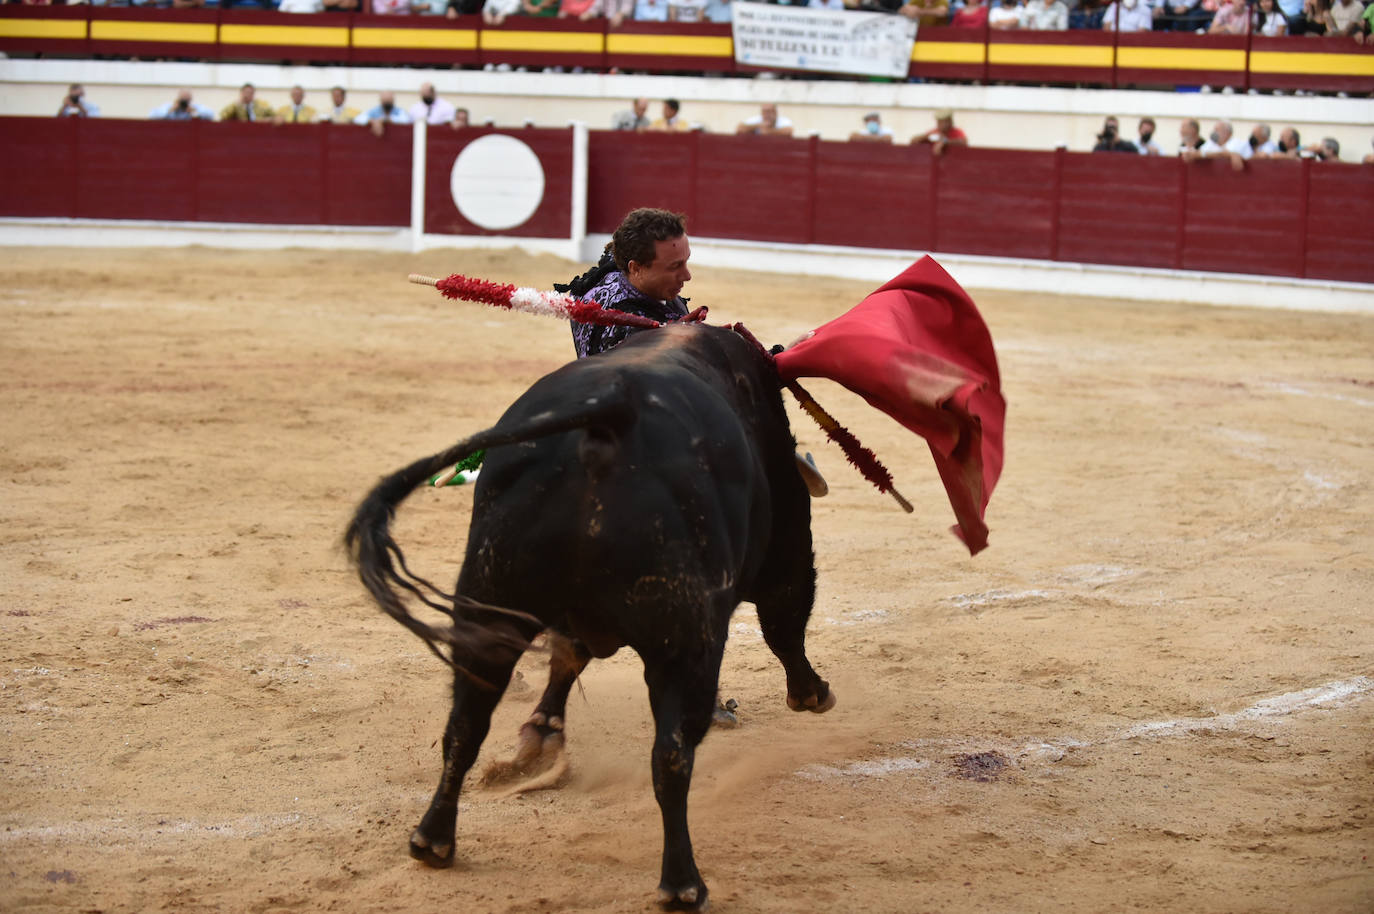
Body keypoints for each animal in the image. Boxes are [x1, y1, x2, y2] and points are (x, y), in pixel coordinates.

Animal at [343, 320, 835, 907]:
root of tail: (609, 418)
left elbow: (564, 660)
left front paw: (542, 733)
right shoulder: (785, 545)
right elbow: (785, 620)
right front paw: (812, 693)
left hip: (489, 602)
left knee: (465, 724)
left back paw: (433, 840)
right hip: (685, 641)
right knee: (671, 754)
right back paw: (682, 884)